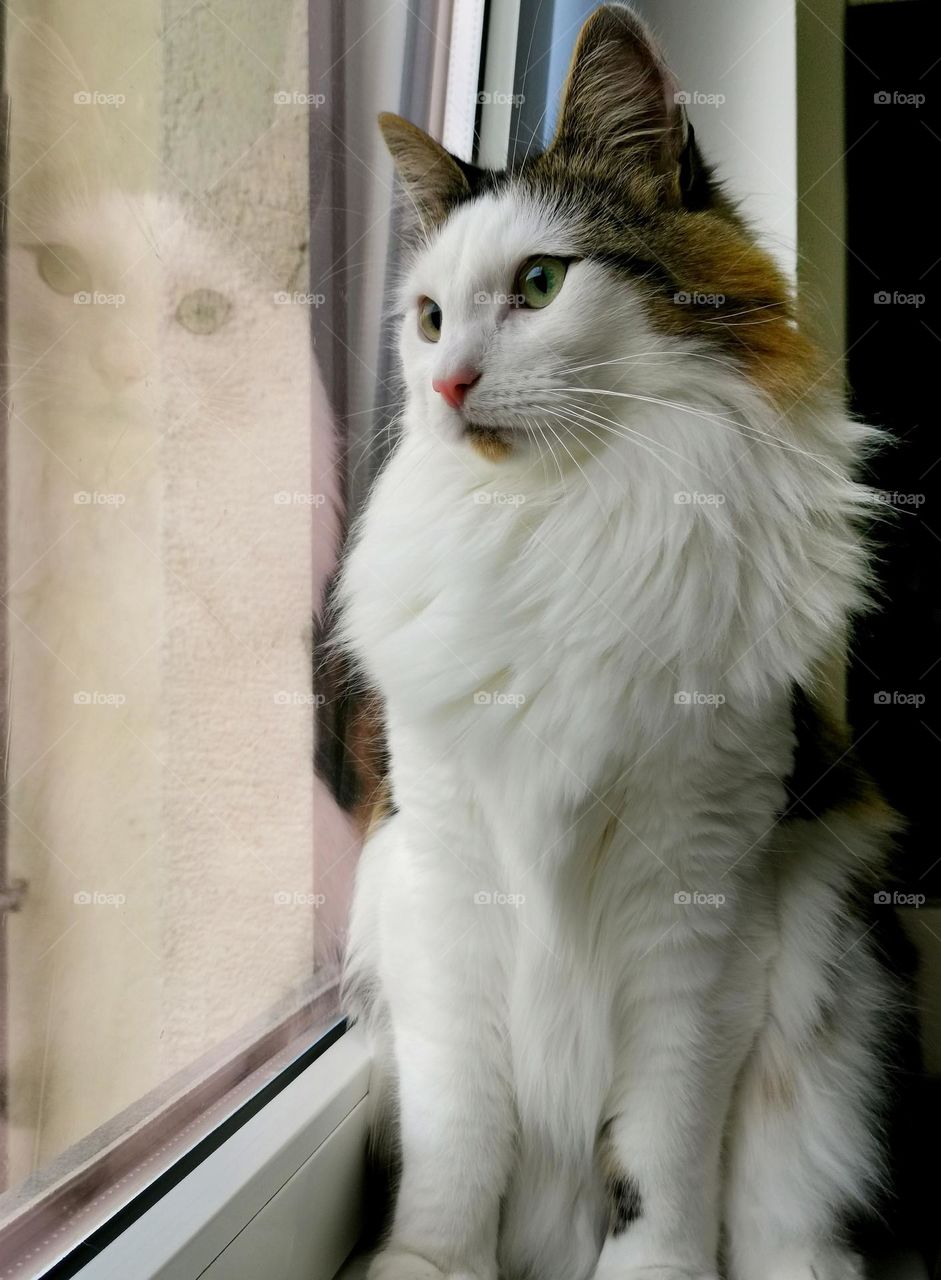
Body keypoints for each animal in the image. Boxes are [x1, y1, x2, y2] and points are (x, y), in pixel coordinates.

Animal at [340, 7, 906, 1280]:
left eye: (541, 283)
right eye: (429, 318)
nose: (446, 385)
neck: (566, 520)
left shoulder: (696, 905)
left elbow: (660, 1152)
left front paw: (657, 1268)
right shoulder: (443, 870)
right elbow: (457, 1131)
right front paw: (429, 1261)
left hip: (824, 997)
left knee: (790, 1214)